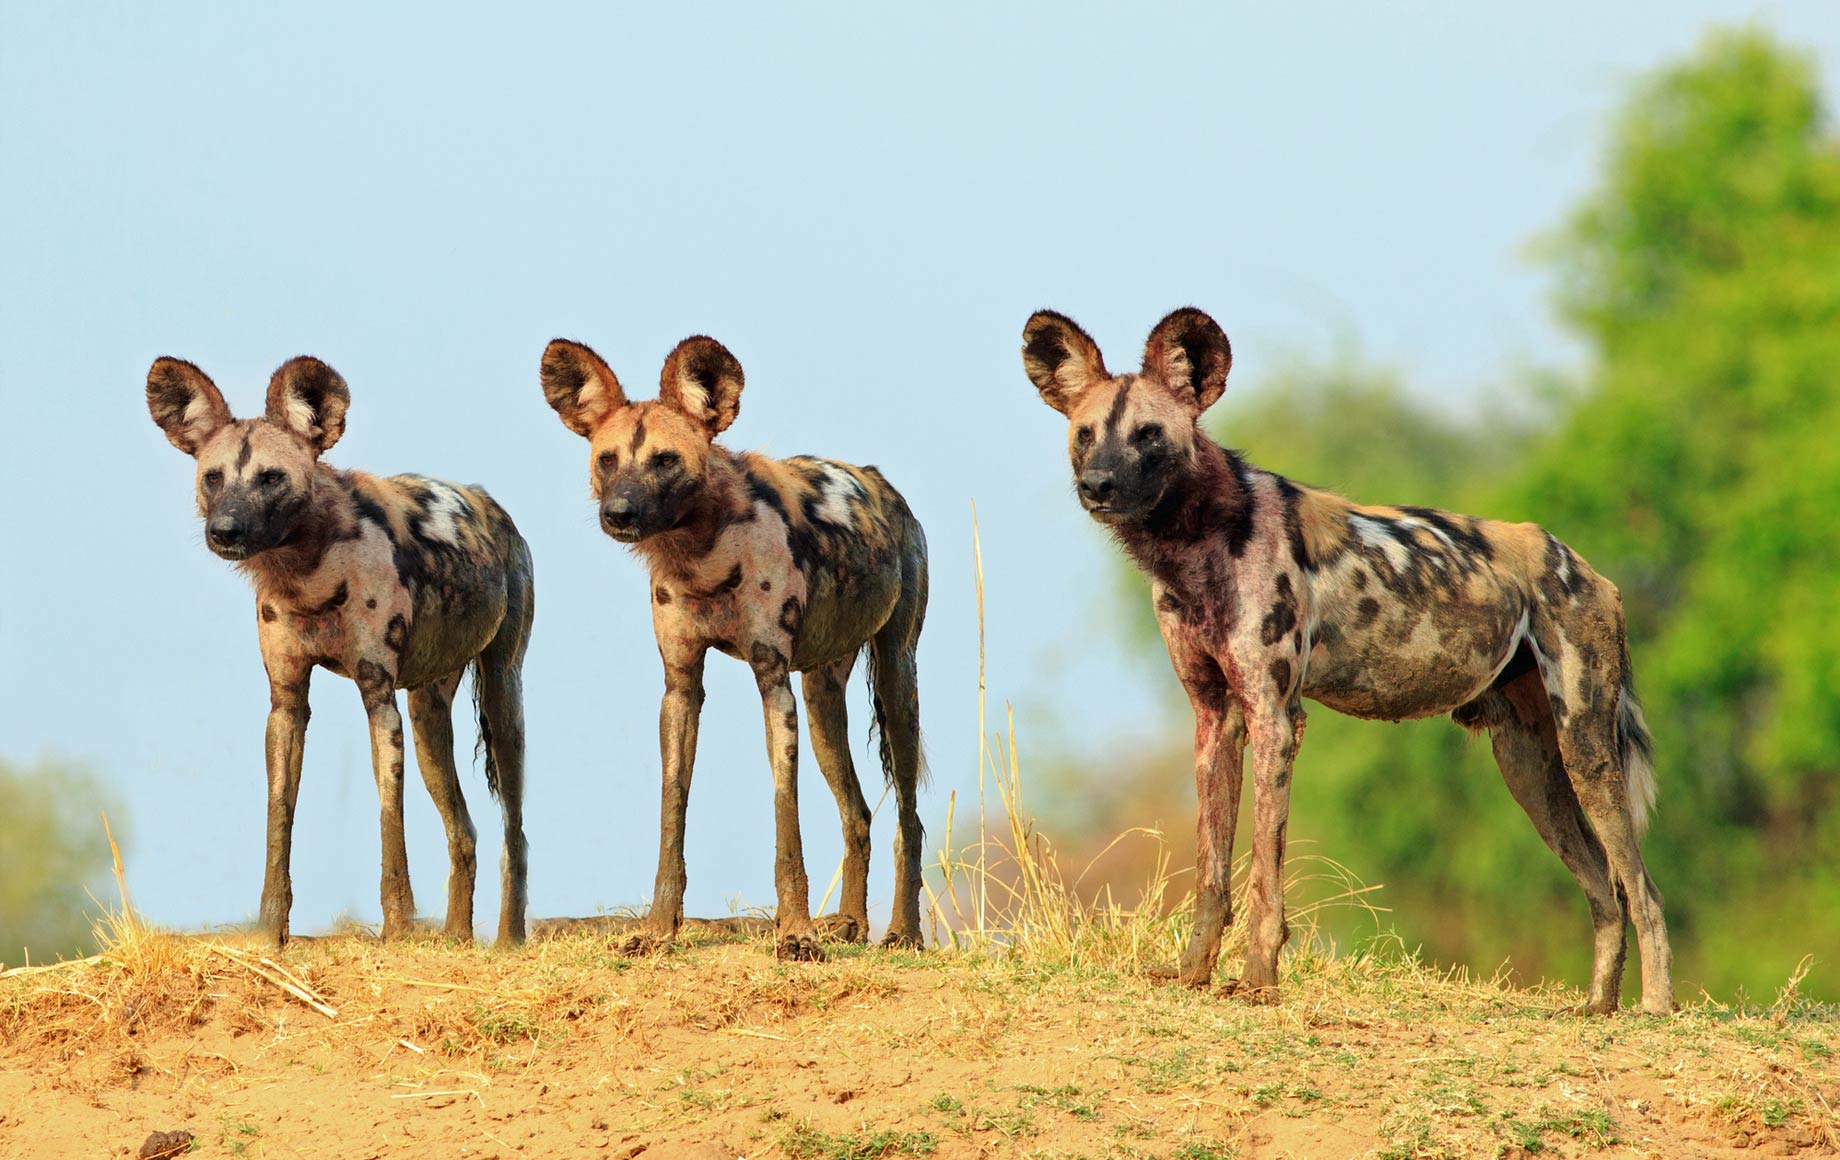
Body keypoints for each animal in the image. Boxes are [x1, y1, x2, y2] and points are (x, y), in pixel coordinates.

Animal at [147, 359, 533, 950]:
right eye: (213, 478)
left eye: (271, 478)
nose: (225, 530)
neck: (306, 575)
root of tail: (490, 502)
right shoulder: (287, 706)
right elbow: (278, 818)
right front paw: (270, 933)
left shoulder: (378, 698)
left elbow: (389, 822)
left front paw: (397, 929)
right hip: (427, 717)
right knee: (463, 830)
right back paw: (456, 939)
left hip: (502, 697)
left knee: (516, 832)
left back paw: (509, 938)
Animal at [537, 333, 927, 964]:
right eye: (607, 459)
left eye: (666, 460)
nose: (618, 514)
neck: (701, 557)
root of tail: (879, 481)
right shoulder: (681, 688)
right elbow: (672, 814)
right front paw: (657, 931)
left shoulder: (773, 683)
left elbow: (786, 826)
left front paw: (795, 936)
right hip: (822, 702)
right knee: (859, 813)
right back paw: (848, 922)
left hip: (896, 681)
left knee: (909, 817)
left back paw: (904, 933)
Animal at [1023, 309, 1685, 1016]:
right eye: (1086, 434)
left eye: (1148, 435)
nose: (1097, 485)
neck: (1195, 547)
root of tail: (1581, 564)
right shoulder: (1214, 718)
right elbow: (1211, 873)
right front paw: (1193, 974)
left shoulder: (1275, 718)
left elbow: (1263, 876)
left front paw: (1258, 981)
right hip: (1529, 766)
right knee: (1606, 890)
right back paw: (1597, 1009)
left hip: (1586, 748)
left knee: (1643, 889)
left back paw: (1654, 1009)